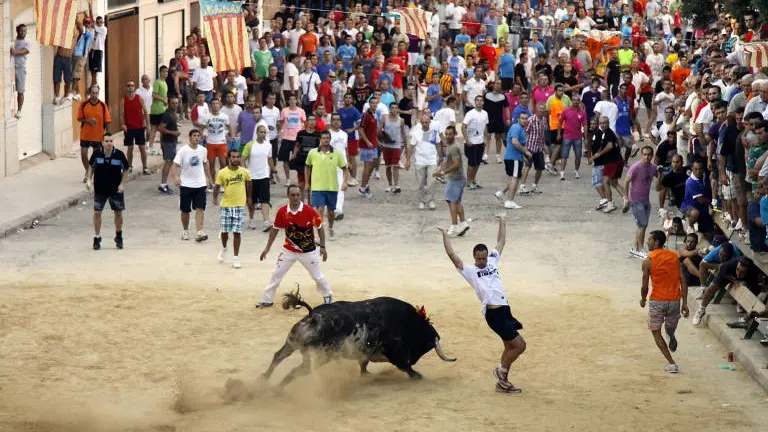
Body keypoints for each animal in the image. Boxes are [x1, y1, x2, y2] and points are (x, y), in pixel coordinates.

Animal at [264, 292, 456, 386]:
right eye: (426, 344)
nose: (414, 359)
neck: (409, 323)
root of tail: (314, 316)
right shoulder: (397, 354)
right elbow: (406, 367)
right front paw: (418, 376)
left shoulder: (366, 353)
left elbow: (363, 364)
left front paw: (365, 375)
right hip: (316, 359)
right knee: (294, 371)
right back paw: (277, 390)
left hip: (292, 342)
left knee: (278, 356)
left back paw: (263, 381)